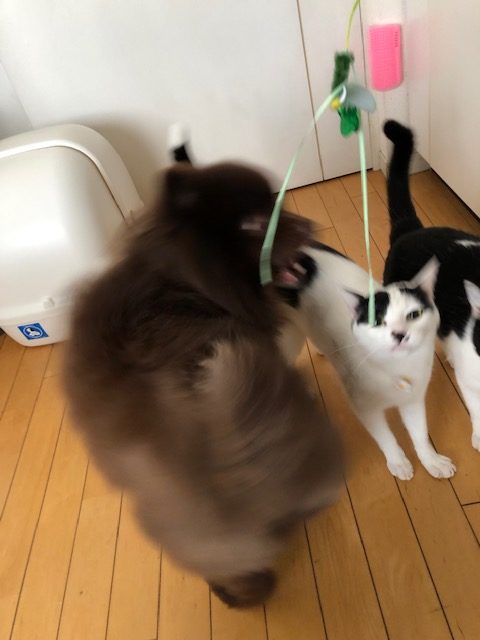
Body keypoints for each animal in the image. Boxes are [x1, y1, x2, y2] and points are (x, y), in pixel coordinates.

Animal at [281, 242, 456, 480]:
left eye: (414, 315)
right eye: (377, 322)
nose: (400, 334)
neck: (396, 367)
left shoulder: (413, 398)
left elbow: (420, 432)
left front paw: (432, 461)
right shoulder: (365, 408)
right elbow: (385, 437)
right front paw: (398, 462)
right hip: (287, 337)